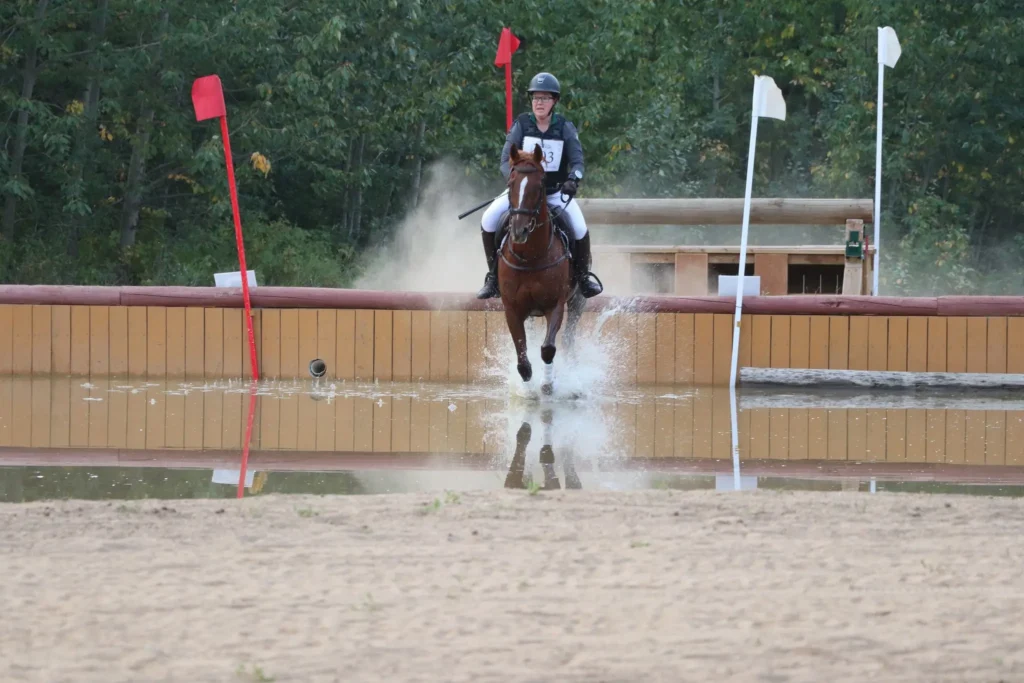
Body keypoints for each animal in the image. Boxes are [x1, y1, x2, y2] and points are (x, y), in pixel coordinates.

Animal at [497, 143, 586, 395]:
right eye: (511, 184)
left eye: (539, 186)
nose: (519, 231)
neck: (530, 257)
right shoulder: (512, 309)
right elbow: (522, 359)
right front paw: (527, 391)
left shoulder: (554, 304)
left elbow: (548, 348)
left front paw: (547, 384)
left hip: (577, 301)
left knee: (568, 339)